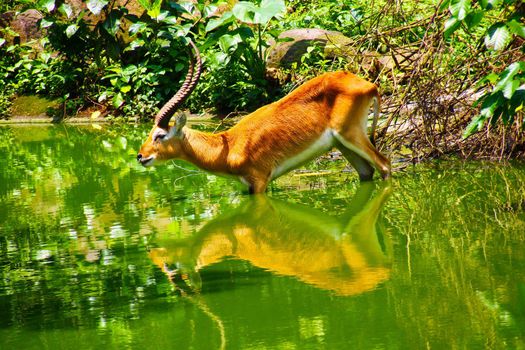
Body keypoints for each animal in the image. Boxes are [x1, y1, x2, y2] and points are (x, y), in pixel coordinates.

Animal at [135, 41, 388, 194]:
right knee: (367, 172)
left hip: (352, 135)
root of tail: (369, 86)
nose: (140, 156)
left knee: (384, 165)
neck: (230, 145)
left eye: (160, 135)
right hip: (342, 144)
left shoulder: (259, 182)